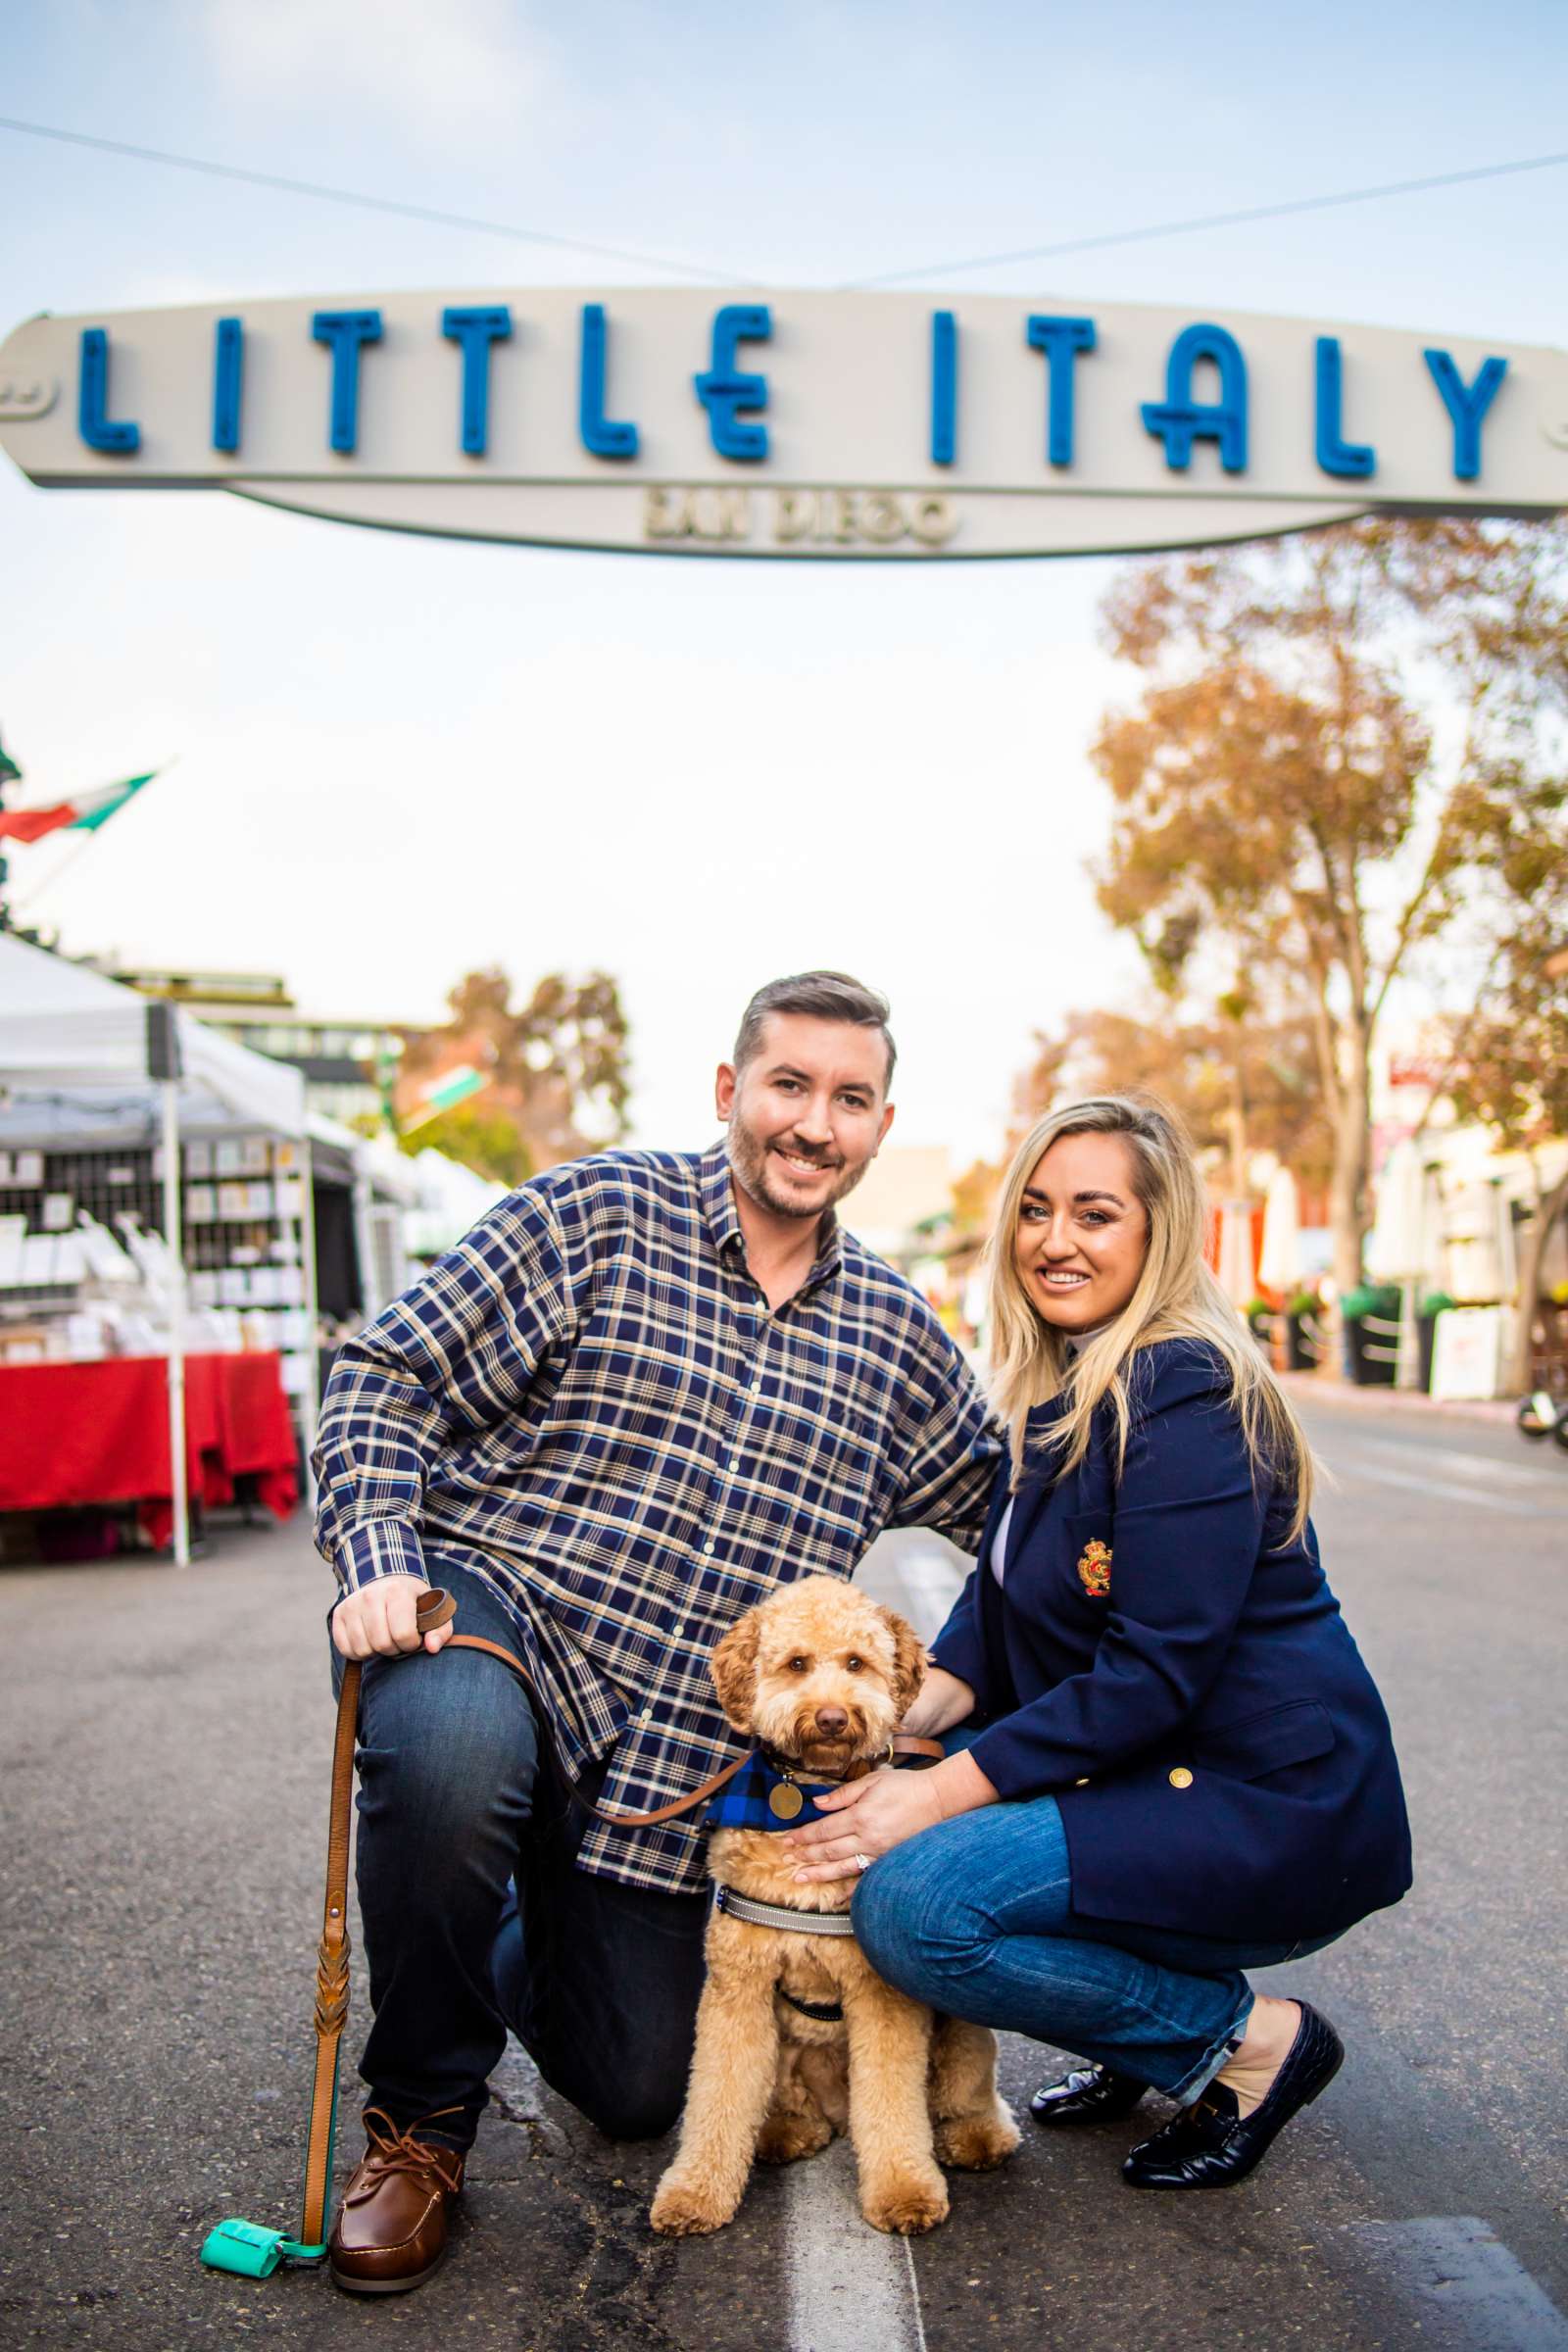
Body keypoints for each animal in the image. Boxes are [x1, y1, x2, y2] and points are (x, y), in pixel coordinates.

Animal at [649, 1571, 1020, 2230]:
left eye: (856, 1663)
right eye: (796, 1664)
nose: (831, 1718)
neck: (809, 1797)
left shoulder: (881, 1995)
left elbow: (893, 2104)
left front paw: (904, 2191)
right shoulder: (738, 1986)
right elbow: (717, 2094)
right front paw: (694, 2193)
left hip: (959, 2032)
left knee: (963, 2088)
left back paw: (976, 2135)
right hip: (789, 2052)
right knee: (784, 2103)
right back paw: (782, 2130)